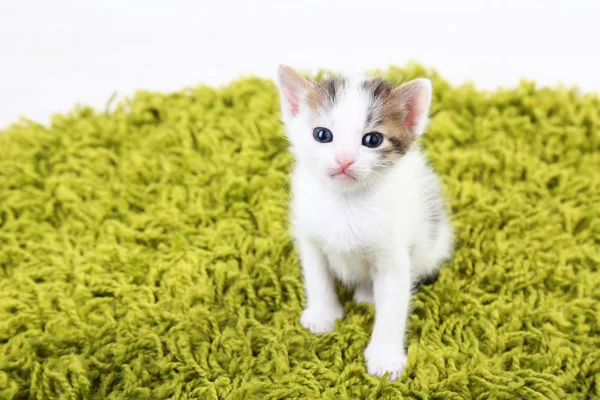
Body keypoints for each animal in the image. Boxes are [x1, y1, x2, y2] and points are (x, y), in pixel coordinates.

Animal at [278, 65, 452, 382]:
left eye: (373, 140)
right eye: (322, 134)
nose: (344, 160)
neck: (345, 202)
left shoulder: (394, 255)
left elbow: (393, 306)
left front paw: (385, 358)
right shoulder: (310, 237)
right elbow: (317, 276)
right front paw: (323, 314)